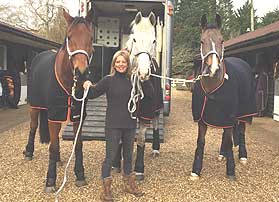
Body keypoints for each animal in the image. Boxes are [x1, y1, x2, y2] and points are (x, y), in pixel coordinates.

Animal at [22, 9, 94, 193]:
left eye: (91, 38)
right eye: (69, 36)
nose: (81, 73)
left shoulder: (77, 117)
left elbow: (78, 145)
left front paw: (80, 175)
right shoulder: (54, 116)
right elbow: (52, 147)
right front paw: (50, 180)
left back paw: (59, 159)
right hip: (35, 106)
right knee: (33, 127)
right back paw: (29, 152)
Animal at [112, 11, 164, 181]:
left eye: (154, 40)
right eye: (134, 39)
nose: (143, 73)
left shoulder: (145, 114)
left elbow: (141, 140)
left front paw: (139, 169)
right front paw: (116, 163)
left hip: (156, 108)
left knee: (155, 123)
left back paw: (155, 149)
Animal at [190, 14, 258, 181]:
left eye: (222, 40)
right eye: (202, 41)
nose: (213, 68)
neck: (212, 88)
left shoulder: (228, 116)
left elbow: (229, 140)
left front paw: (231, 171)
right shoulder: (202, 119)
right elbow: (201, 142)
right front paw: (195, 171)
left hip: (243, 113)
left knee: (241, 132)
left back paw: (242, 157)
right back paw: (222, 155)